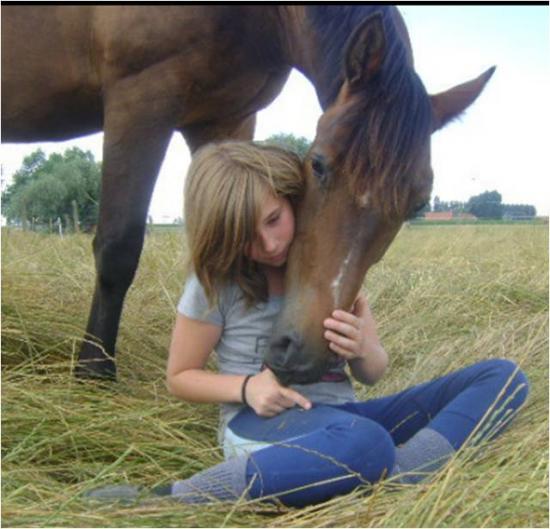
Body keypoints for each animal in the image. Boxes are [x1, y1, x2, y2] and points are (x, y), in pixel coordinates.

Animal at [2, 4, 496, 384]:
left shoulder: (226, 117)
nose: (306, 354)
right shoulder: (140, 98)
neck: (256, 15)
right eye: (318, 163)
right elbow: (118, 247)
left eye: (417, 204)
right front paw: (93, 373)